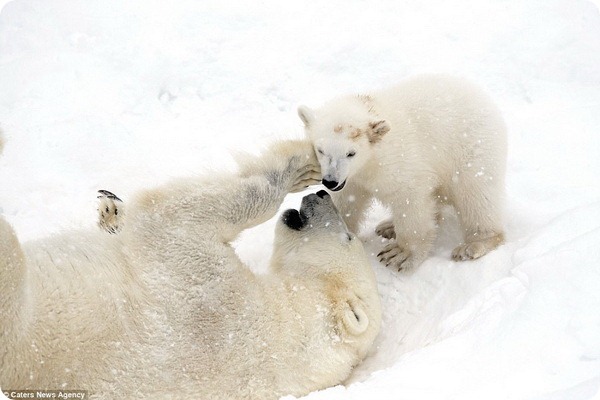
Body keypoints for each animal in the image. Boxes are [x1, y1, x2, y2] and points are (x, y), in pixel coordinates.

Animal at [0, 135, 382, 400]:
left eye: (348, 236)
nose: (321, 195)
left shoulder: (209, 300)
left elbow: (182, 215)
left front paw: (297, 165)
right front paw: (111, 214)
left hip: (19, 313)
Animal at [298, 73, 506, 270]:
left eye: (351, 153)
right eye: (320, 150)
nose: (330, 181)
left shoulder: (399, 162)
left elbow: (410, 200)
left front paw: (399, 254)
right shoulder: (352, 180)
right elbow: (347, 202)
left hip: (471, 149)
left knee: (474, 195)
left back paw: (474, 244)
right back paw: (388, 226)